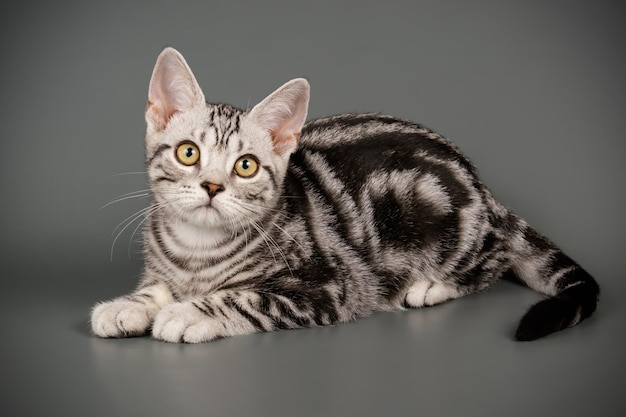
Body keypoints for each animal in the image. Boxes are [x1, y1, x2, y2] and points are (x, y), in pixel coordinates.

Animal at [90, 47, 596, 342]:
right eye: (189, 152)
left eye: (245, 165)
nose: (212, 186)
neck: (197, 252)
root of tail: (483, 188)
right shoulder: (166, 269)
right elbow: (155, 288)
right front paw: (129, 306)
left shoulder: (330, 286)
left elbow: (243, 297)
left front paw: (188, 313)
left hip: (439, 220)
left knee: (494, 257)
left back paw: (431, 285)